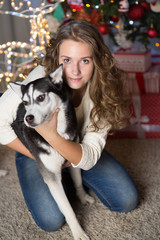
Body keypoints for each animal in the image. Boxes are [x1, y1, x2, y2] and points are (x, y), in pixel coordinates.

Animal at [9, 65, 94, 240]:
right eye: (25, 102)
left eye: (41, 97)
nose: (28, 118)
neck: (58, 131)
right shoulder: (52, 177)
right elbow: (68, 209)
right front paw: (78, 232)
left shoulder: (74, 157)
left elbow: (78, 183)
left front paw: (82, 197)